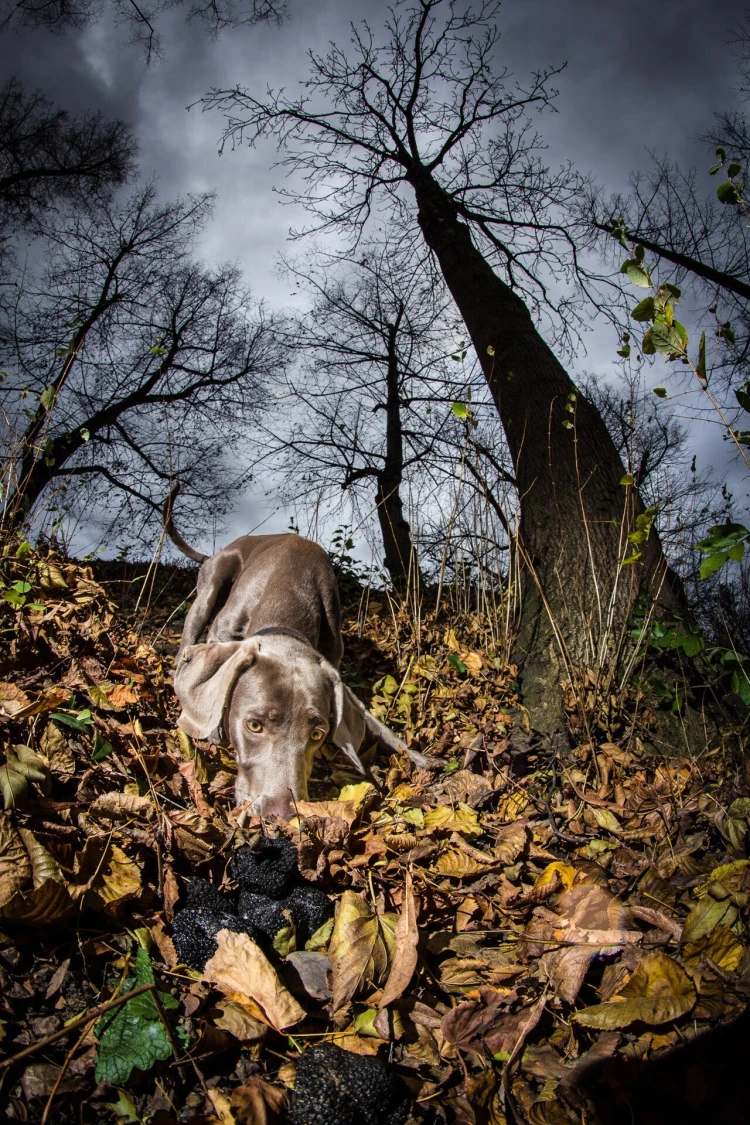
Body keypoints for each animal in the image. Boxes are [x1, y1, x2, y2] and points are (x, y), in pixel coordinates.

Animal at [169, 517, 427, 819]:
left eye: (317, 734)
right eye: (254, 726)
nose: (282, 814)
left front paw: (419, 757)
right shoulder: (221, 633)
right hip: (210, 588)